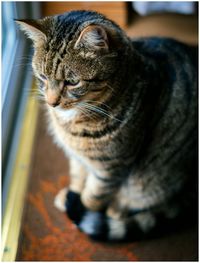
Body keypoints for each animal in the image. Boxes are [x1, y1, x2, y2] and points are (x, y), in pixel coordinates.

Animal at [17, 9, 198, 241]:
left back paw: (116, 209)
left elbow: (92, 197)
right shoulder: (77, 158)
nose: (51, 102)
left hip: (151, 180)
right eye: (42, 77)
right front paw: (70, 194)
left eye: (72, 82)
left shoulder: (111, 168)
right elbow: (77, 179)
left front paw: (81, 210)